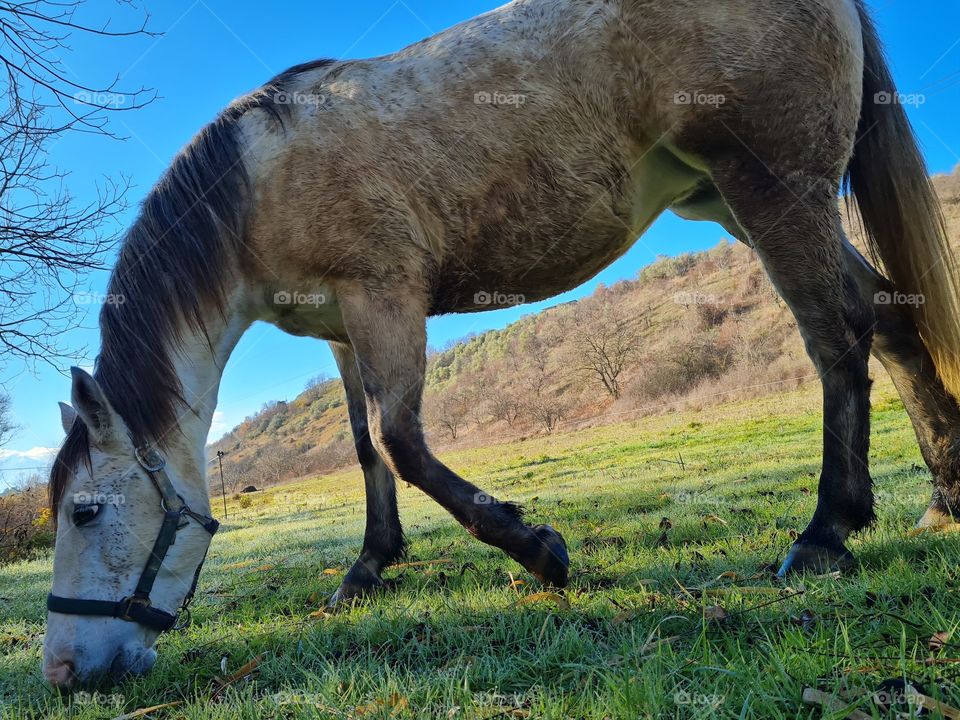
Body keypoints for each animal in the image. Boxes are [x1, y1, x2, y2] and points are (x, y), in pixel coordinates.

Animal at [43, 0, 960, 689]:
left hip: (771, 189)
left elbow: (401, 442)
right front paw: (369, 567)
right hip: (735, 200)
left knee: (835, 337)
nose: (61, 671)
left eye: (86, 511)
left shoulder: (384, 297)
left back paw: (826, 531)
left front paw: (539, 551)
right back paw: (941, 496)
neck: (258, 178)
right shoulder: (340, 329)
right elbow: (365, 449)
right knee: (890, 322)